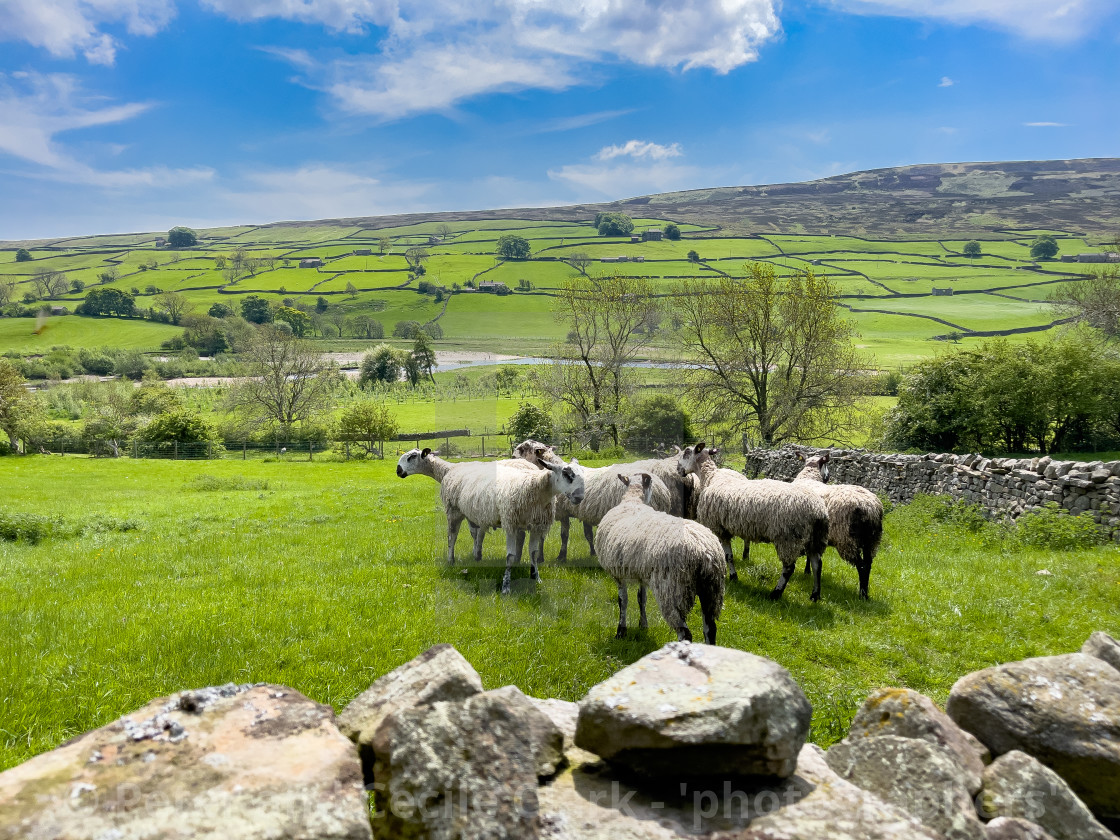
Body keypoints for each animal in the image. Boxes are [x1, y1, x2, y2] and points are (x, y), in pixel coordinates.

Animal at [396, 448, 586, 591]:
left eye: (412, 457)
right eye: (567, 474)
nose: (398, 470)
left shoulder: (532, 525)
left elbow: (529, 552)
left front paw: (534, 577)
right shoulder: (491, 517)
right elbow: (480, 536)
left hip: (455, 510)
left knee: (452, 535)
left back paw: (452, 560)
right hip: (456, 510)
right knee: (452, 536)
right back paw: (452, 560)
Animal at [595, 474, 725, 645]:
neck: (632, 500)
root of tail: (704, 551)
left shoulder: (618, 573)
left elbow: (623, 601)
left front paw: (621, 632)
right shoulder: (641, 573)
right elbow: (641, 598)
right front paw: (643, 625)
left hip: (672, 590)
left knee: (685, 633)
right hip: (711, 590)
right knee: (710, 628)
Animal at [672, 443, 833, 600]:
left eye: (686, 453)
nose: (678, 470)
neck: (710, 477)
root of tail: (818, 510)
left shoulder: (718, 528)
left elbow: (727, 556)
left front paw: (732, 576)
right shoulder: (724, 528)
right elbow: (729, 556)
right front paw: (733, 576)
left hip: (789, 537)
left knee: (789, 567)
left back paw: (776, 593)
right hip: (815, 537)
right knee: (817, 564)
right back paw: (815, 595)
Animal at [792, 454, 878, 600]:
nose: (829, 476)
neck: (808, 477)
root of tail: (869, 508)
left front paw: (806, 571)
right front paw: (807, 571)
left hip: (847, 539)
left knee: (861, 566)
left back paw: (862, 594)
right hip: (871, 541)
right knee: (868, 564)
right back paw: (865, 594)